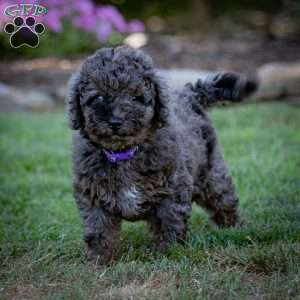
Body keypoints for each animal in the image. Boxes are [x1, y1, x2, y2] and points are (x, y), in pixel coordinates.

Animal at [66, 45, 258, 262]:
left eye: (136, 97)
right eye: (99, 96)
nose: (115, 121)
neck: (124, 153)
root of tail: (188, 94)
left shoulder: (172, 188)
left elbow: (169, 221)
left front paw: (169, 252)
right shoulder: (92, 193)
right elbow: (99, 228)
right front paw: (101, 258)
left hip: (211, 173)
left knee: (223, 199)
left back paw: (235, 229)